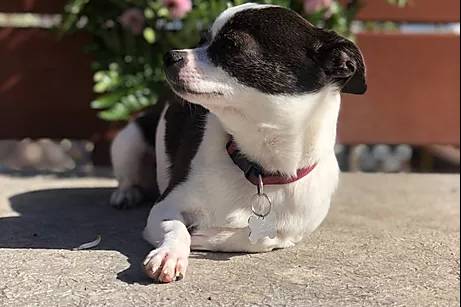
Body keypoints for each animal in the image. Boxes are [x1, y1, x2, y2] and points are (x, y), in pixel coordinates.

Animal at [109, 3, 364, 284]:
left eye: (231, 46)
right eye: (201, 40)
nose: (170, 55)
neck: (260, 168)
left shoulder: (289, 232)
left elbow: (256, 238)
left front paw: (210, 236)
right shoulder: (165, 207)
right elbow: (177, 228)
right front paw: (170, 255)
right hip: (127, 141)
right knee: (127, 177)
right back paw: (126, 193)